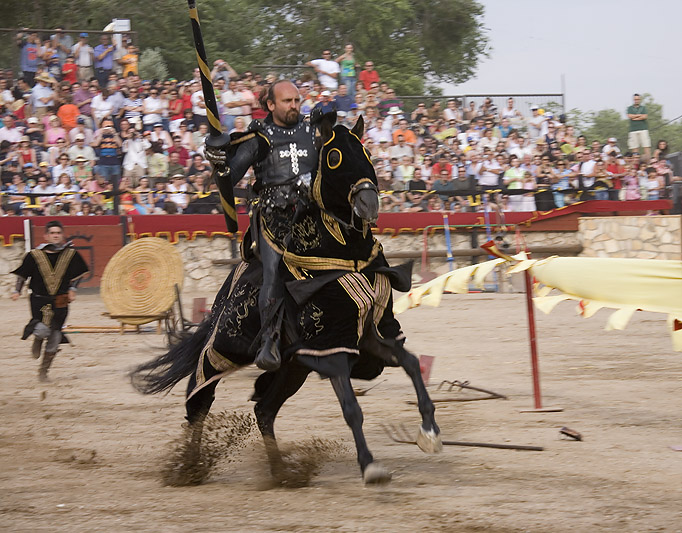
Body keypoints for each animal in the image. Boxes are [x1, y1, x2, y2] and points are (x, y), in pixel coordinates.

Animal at [131, 114, 440, 484]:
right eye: (334, 157)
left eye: (367, 152)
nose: (369, 204)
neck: (345, 259)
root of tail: (228, 288)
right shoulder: (331, 349)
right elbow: (352, 408)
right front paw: (369, 465)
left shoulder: (371, 338)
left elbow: (412, 364)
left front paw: (429, 432)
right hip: (224, 349)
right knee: (199, 399)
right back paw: (190, 468)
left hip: (293, 368)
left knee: (264, 410)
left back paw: (280, 474)